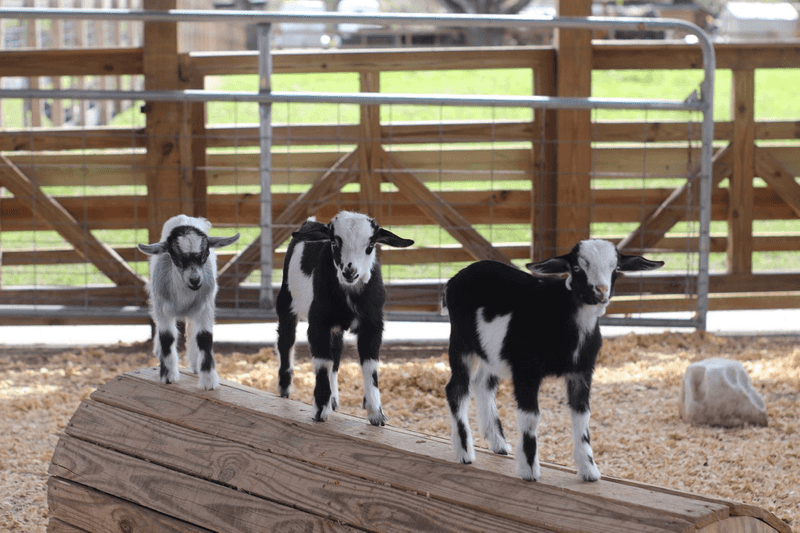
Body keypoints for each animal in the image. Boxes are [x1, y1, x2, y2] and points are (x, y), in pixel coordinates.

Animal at [138, 215, 240, 390]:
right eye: (175, 256)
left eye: (205, 254)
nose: (195, 280)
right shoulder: (162, 308)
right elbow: (167, 337)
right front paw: (168, 376)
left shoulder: (205, 307)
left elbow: (204, 337)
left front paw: (208, 382)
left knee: (192, 331)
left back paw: (195, 364)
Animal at [276, 211, 414, 425]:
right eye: (334, 241)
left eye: (371, 244)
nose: (350, 271)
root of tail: (310, 222)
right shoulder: (318, 323)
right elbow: (323, 363)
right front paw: (320, 410)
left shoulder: (373, 325)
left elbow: (369, 365)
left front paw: (376, 414)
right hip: (286, 299)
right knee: (286, 340)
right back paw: (285, 389)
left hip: (336, 328)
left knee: (336, 353)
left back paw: (333, 399)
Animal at [440, 239, 663, 481]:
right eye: (577, 267)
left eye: (616, 269)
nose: (601, 291)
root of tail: (452, 281)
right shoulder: (526, 370)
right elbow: (531, 416)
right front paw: (529, 470)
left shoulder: (581, 372)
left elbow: (582, 416)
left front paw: (589, 470)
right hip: (461, 343)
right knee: (457, 389)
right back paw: (465, 452)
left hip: (492, 353)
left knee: (482, 385)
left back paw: (498, 443)